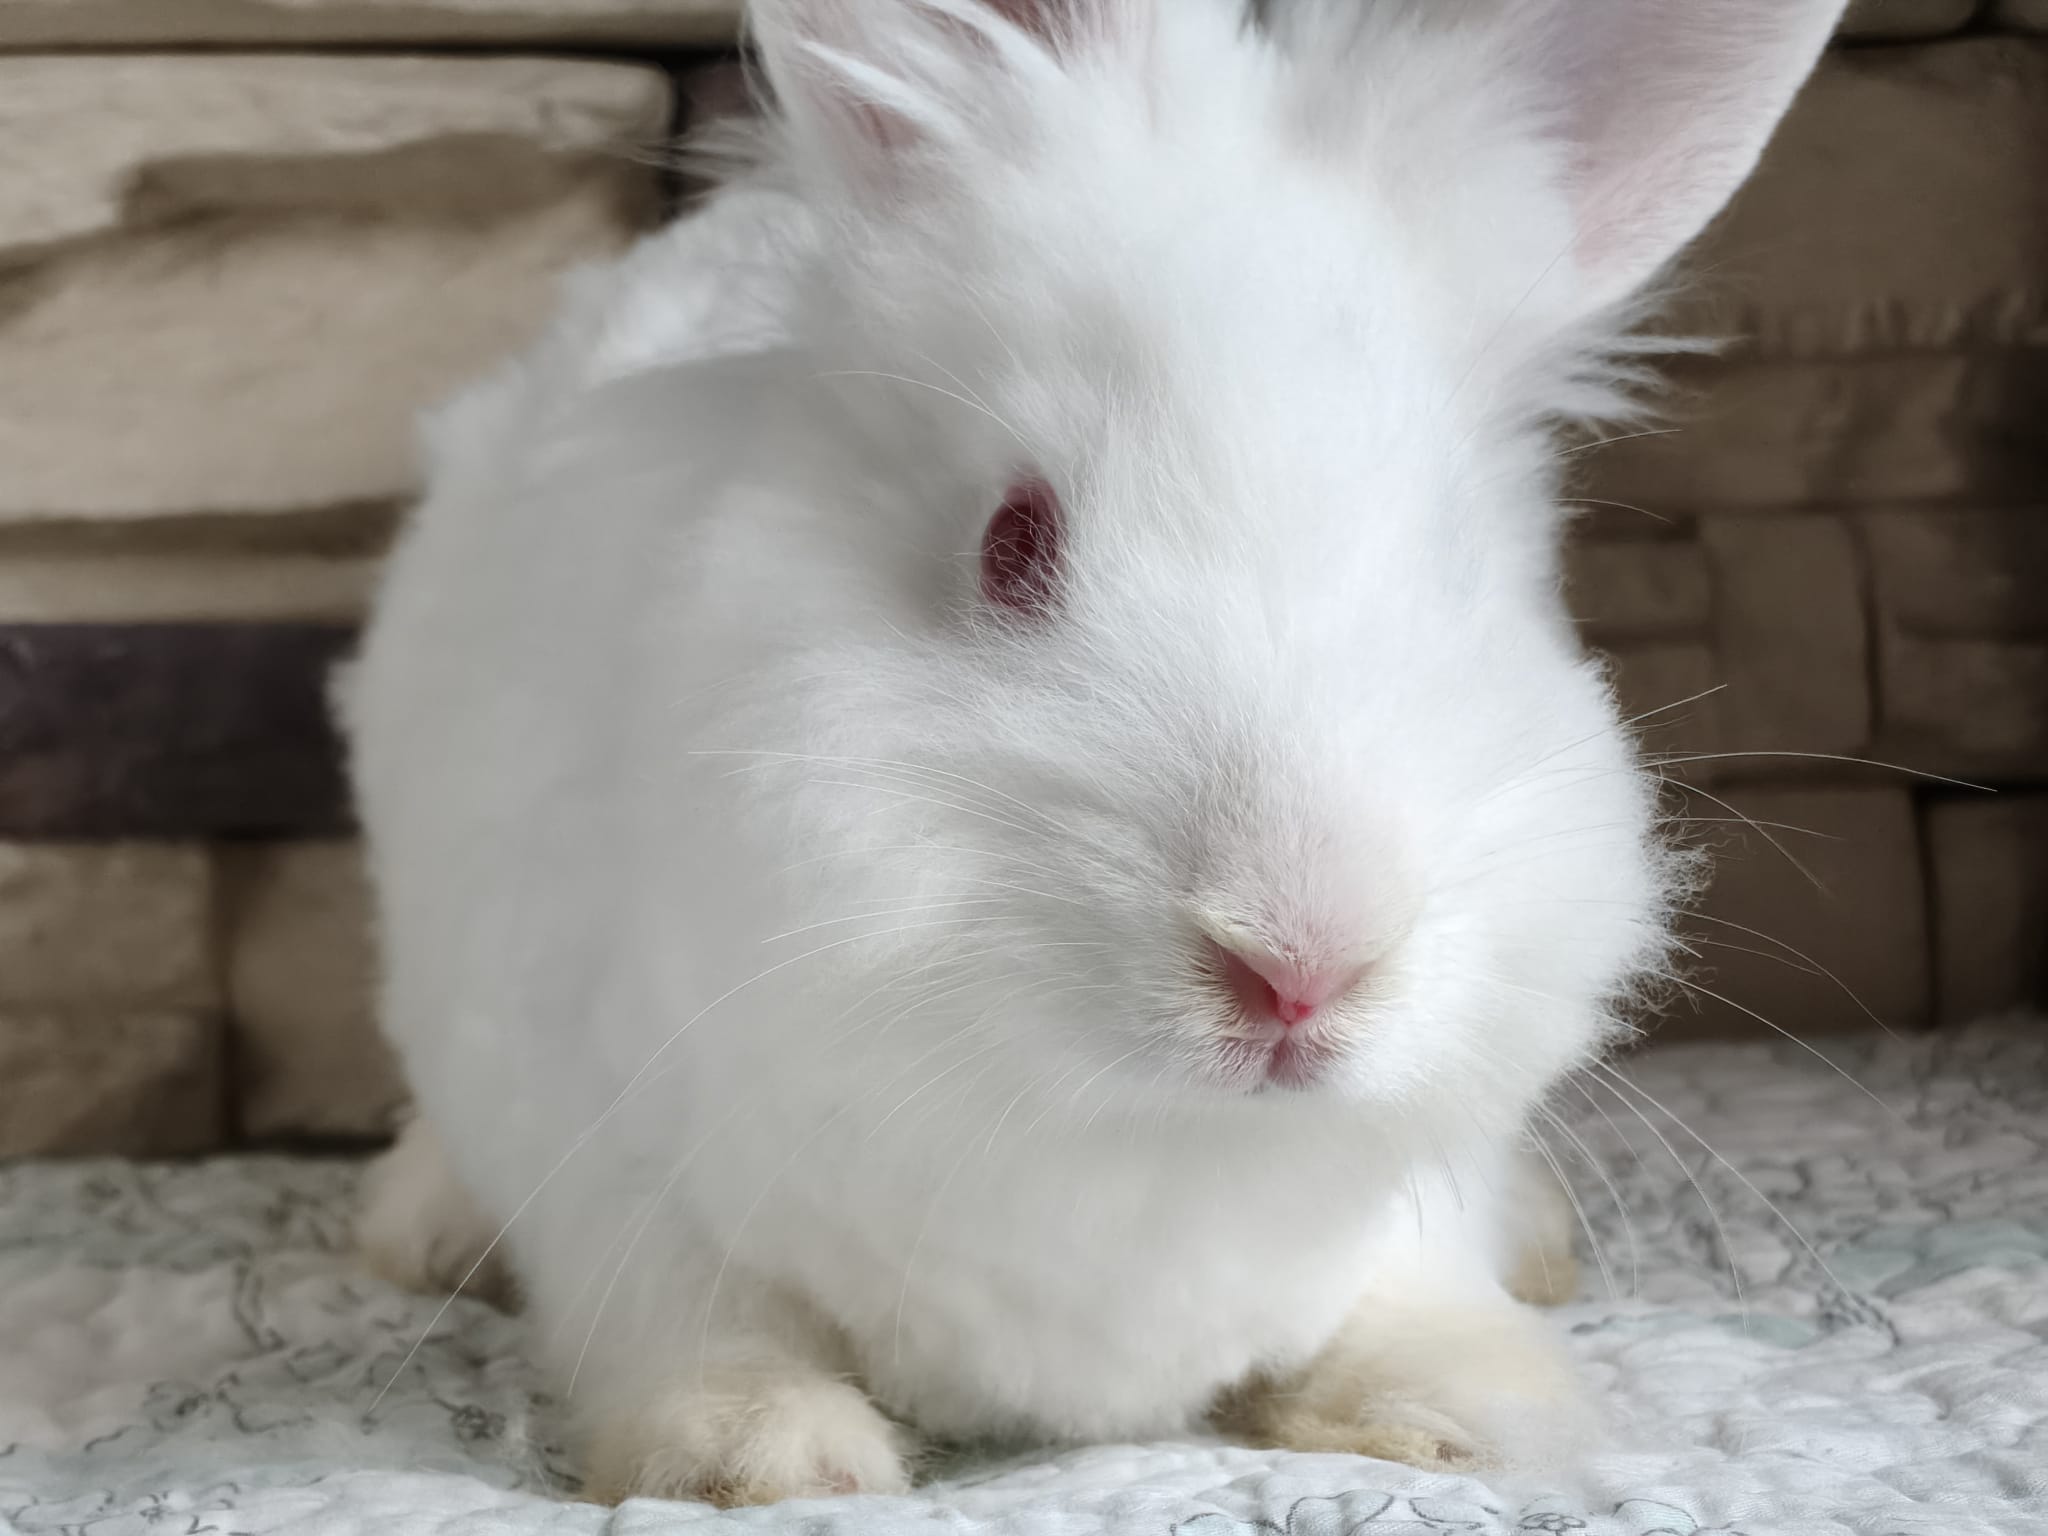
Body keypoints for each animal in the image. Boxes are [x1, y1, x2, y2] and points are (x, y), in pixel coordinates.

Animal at [347, 0, 1845, 1507]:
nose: (1299, 966)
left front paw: (1466, 1407)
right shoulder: (605, 1150)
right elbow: (683, 1322)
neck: (1139, 1131)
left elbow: (1408, 1286)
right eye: (1013, 542)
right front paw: (762, 1455)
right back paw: (418, 1235)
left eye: (1460, 572)